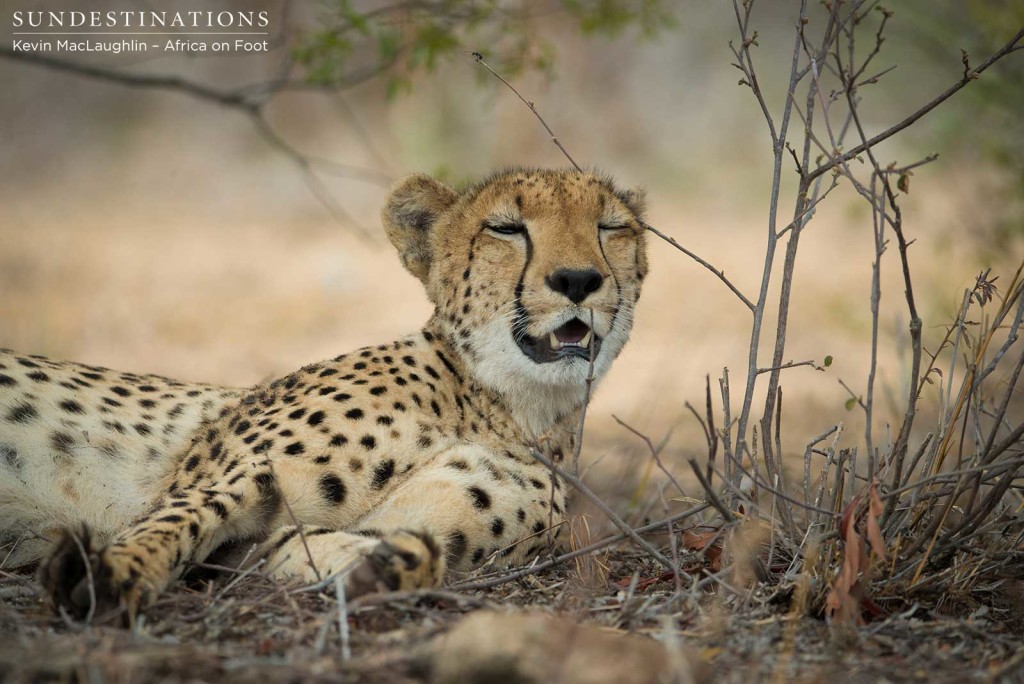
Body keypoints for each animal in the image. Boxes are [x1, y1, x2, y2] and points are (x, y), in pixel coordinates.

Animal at [0, 167, 647, 622]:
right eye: (506, 228)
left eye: (610, 227)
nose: (577, 280)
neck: (497, 406)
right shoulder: (223, 477)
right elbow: (173, 521)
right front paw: (111, 574)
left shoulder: (250, 550)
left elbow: (328, 546)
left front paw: (381, 569)